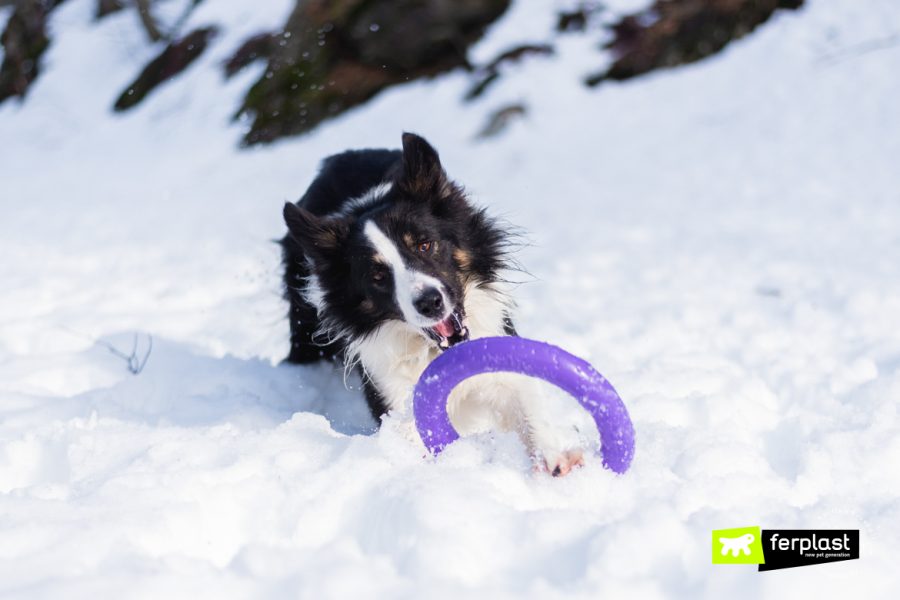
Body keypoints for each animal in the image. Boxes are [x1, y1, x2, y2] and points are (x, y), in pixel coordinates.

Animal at [284, 134, 588, 476]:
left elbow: (522, 401)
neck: (434, 351)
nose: (429, 302)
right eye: (377, 275)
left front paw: (555, 456)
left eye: (424, 244)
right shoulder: (394, 392)